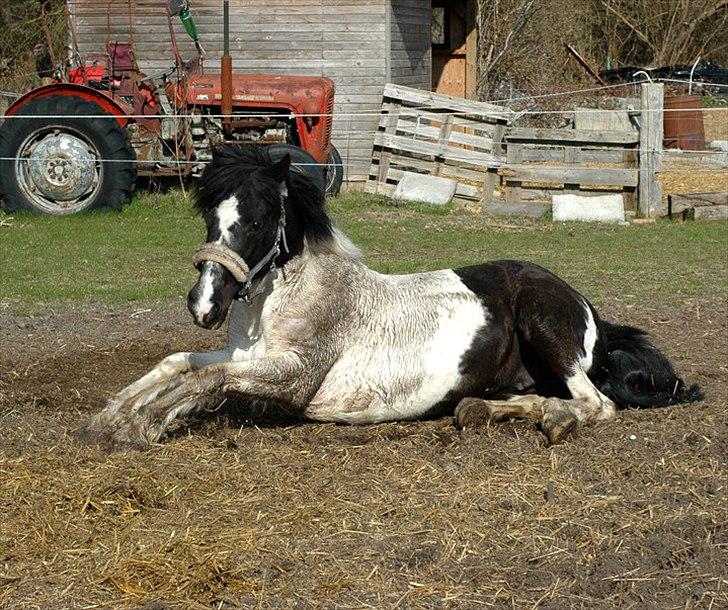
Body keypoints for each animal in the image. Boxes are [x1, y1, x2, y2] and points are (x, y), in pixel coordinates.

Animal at [82, 141, 704, 446]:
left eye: (257, 220)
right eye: (210, 215)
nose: (204, 305)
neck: (288, 299)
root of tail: (585, 305)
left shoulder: (290, 377)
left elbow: (203, 378)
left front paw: (142, 425)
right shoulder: (244, 354)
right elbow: (178, 362)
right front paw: (112, 413)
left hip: (547, 330)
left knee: (596, 405)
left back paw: (551, 422)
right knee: (540, 398)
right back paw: (485, 409)